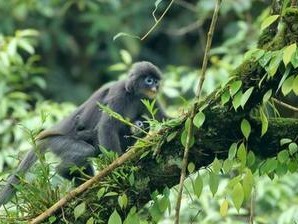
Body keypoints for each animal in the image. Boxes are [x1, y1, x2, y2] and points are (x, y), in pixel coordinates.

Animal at [0, 60, 165, 205]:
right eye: (149, 80)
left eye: (156, 82)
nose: (155, 88)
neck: (134, 95)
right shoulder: (119, 94)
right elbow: (106, 127)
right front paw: (117, 169)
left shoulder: (149, 100)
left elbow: (162, 118)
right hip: (59, 142)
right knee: (86, 151)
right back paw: (64, 171)